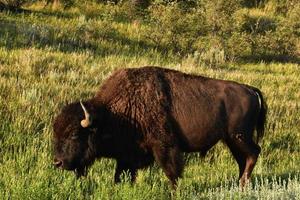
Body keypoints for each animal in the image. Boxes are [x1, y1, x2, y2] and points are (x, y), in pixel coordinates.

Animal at [52, 66, 266, 188]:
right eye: (56, 133)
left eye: (74, 134)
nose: (57, 162)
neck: (112, 113)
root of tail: (251, 89)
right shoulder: (127, 154)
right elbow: (121, 174)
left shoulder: (164, 146)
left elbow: (172, 172)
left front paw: (174, 191)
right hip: (231, 140)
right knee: (243, 159)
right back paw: (239, 184)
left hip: (240, 136)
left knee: (253, 153)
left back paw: (243, 184)